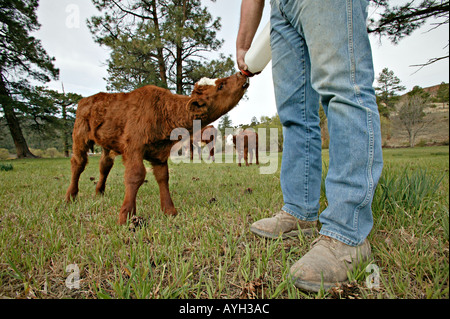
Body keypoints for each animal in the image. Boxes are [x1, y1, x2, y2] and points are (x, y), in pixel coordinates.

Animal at [66, 72, 250, 225]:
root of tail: (87, 99)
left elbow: (163, 177)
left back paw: (99, 191)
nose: (241, 74)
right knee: (78, 163)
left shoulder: (160, 155)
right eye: (221, 86)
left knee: (104, 165)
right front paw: (126, 215)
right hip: (79, 137)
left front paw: (169, 210)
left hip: (105, 144)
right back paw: (71, 196)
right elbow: (135, 175)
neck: (162, 110)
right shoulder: (133, 147)